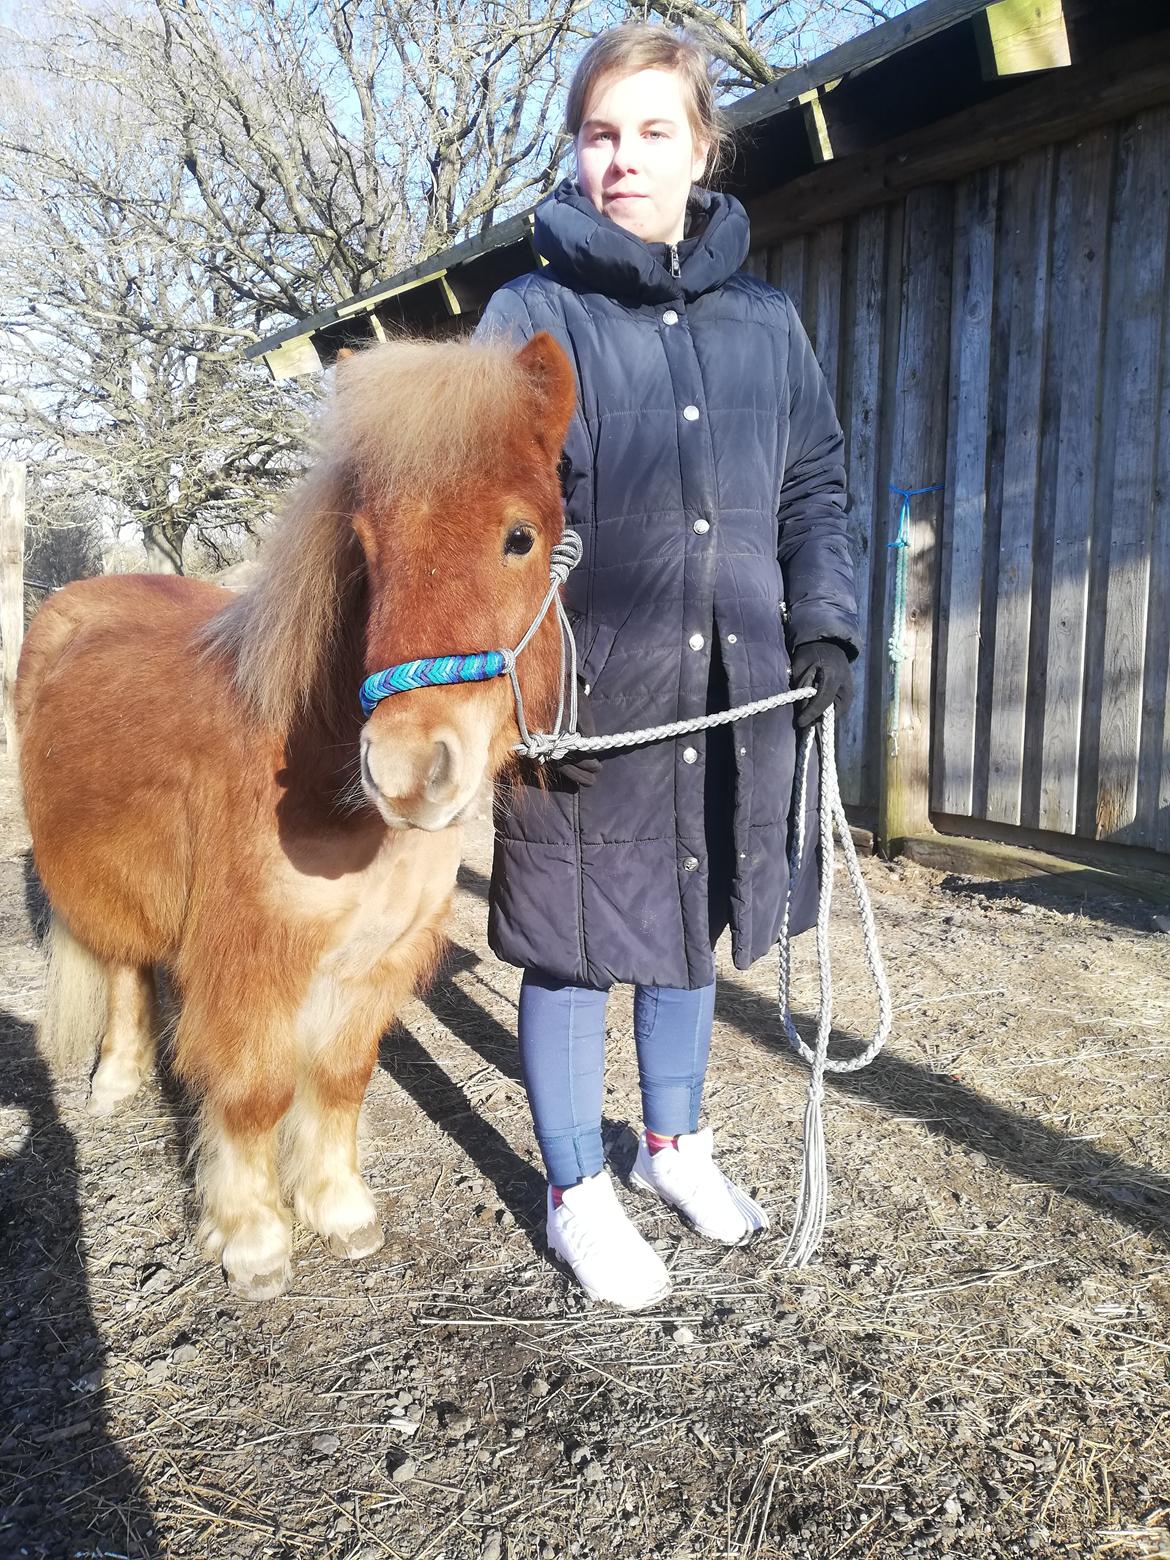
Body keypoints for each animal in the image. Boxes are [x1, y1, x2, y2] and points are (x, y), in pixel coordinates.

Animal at [18, 332, 577, 1304]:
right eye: (368, 548)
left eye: (521, 537)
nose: (406, 769)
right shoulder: (250, 966)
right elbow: (252, 1092)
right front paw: (252, 1237)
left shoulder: (374, 964)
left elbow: (341, 1079)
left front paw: (338, 1208)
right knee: (121, 966)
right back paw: (117, 1079)